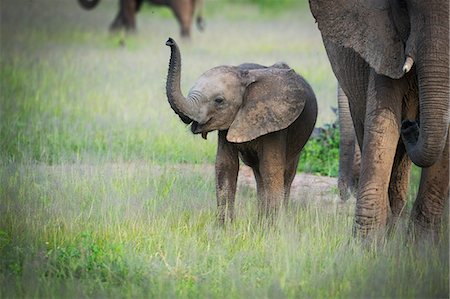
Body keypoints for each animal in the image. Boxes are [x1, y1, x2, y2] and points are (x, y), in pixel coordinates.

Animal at [164, 37, 316, 224]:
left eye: (219, 100)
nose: (169, 41)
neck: (244, 75)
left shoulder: (276, 122)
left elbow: (271, 168)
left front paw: (271, 228)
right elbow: (226, 166)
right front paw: (224, 228)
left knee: (286, 173)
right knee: (258, 173)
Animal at [310, 0, 450, 240]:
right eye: (404, 6)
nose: (410, 125)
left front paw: (422, 246)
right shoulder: (382, 41)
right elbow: (382, 124)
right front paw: (365, 245)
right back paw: (391, 229)